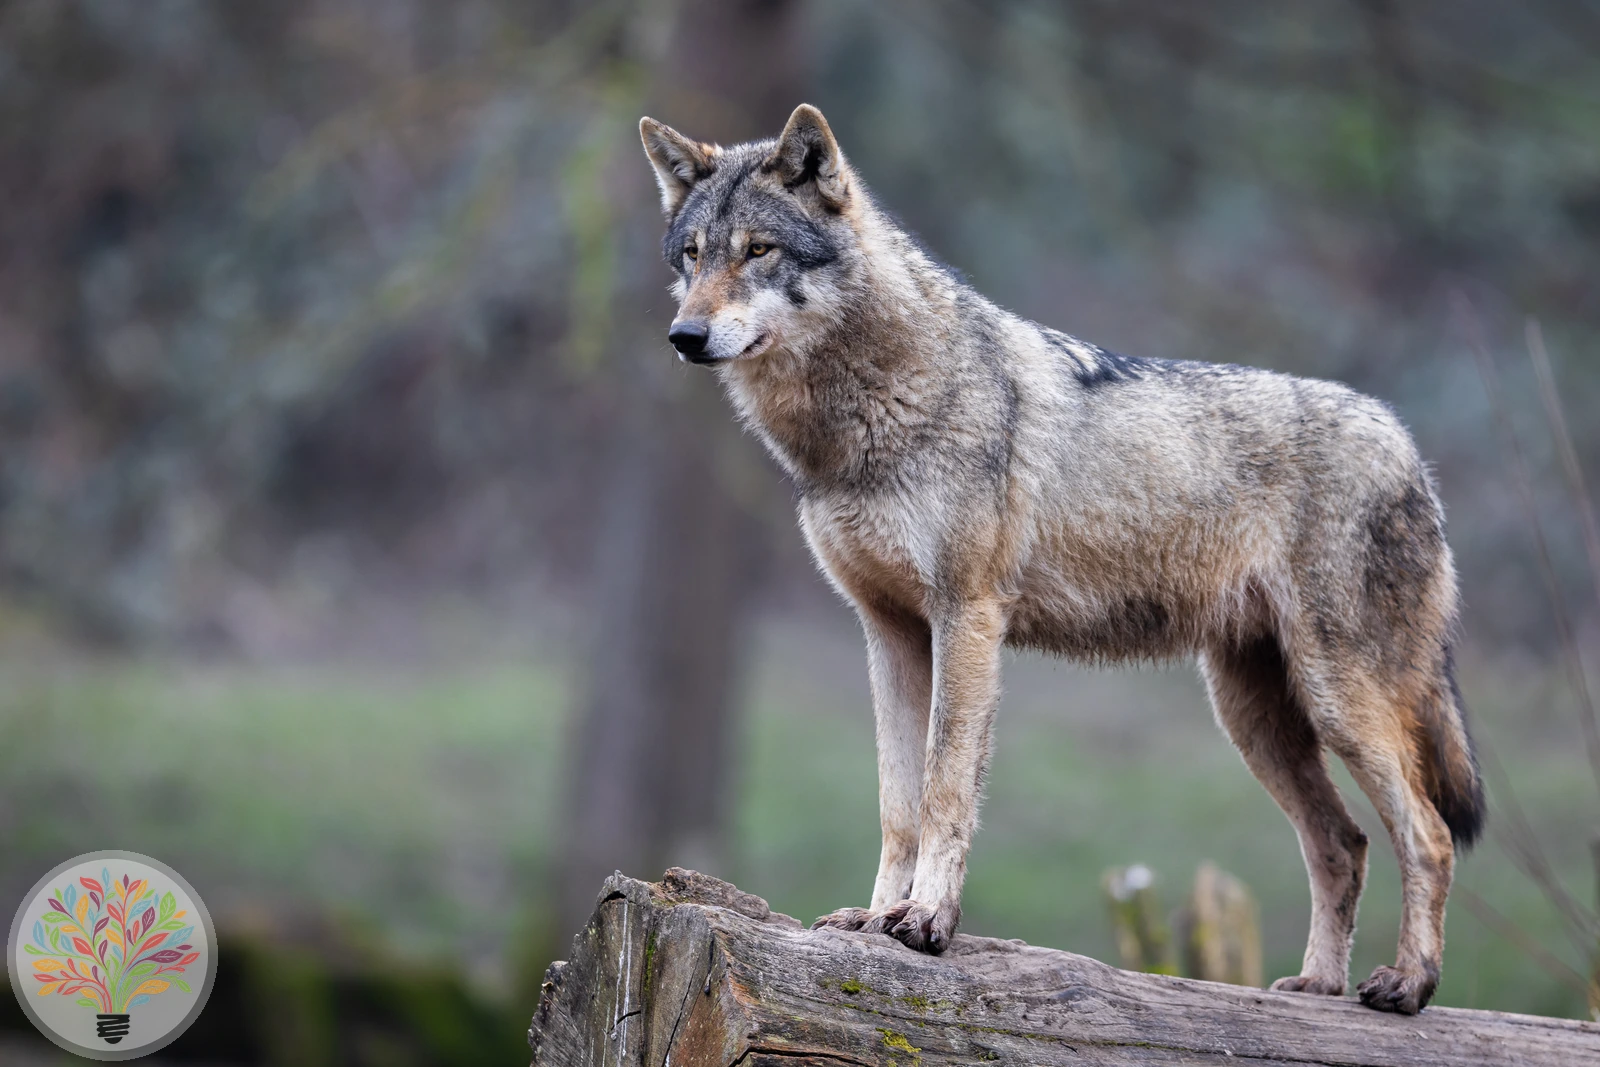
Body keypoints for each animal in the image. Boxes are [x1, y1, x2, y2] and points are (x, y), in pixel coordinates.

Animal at [639, 103, 1484, 1014]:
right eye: (692, 255)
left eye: (759, 250)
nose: (684, 335)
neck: (870, 412)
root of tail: (1408, 447)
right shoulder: (889, 632)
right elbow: (898, 802)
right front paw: (872, 919)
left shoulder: (967, 618)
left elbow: (944, 789)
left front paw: (925, 921)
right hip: (1255, 717)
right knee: (1345, 841)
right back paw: (1316, 988)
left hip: (1337, 702)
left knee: (1430, 834)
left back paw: (1407, 983)